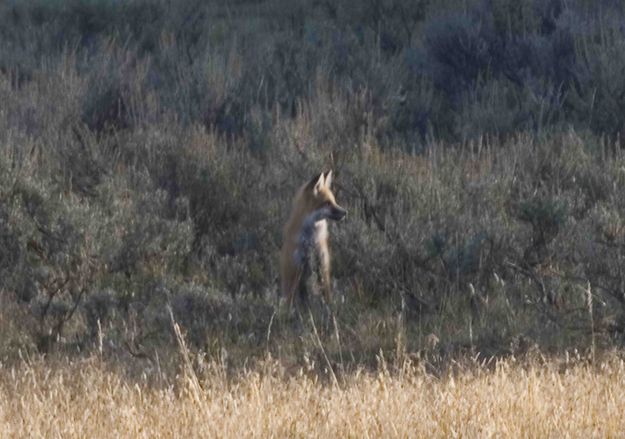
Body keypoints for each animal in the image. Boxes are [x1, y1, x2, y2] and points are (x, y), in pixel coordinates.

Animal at [282, 171, 348, 310]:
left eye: (334, 201)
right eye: (327, 203)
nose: (345, 212)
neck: (309, 241)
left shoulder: (322, 265)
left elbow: (327, 296)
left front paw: (330, 310)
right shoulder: (294, 268)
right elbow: (290, 301)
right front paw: (287, 314)